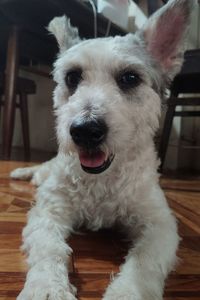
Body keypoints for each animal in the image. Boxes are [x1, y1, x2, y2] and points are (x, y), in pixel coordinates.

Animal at [10, 1, 195, 298]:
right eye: (72, 77)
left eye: (130, 78)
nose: (84, 130)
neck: (102, 179)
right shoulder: (50, 211)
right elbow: (49, 247)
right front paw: (47, 287)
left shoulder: (159, 224)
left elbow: (144, 262)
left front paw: (128, 291)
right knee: (43, 169)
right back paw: (25, 173)